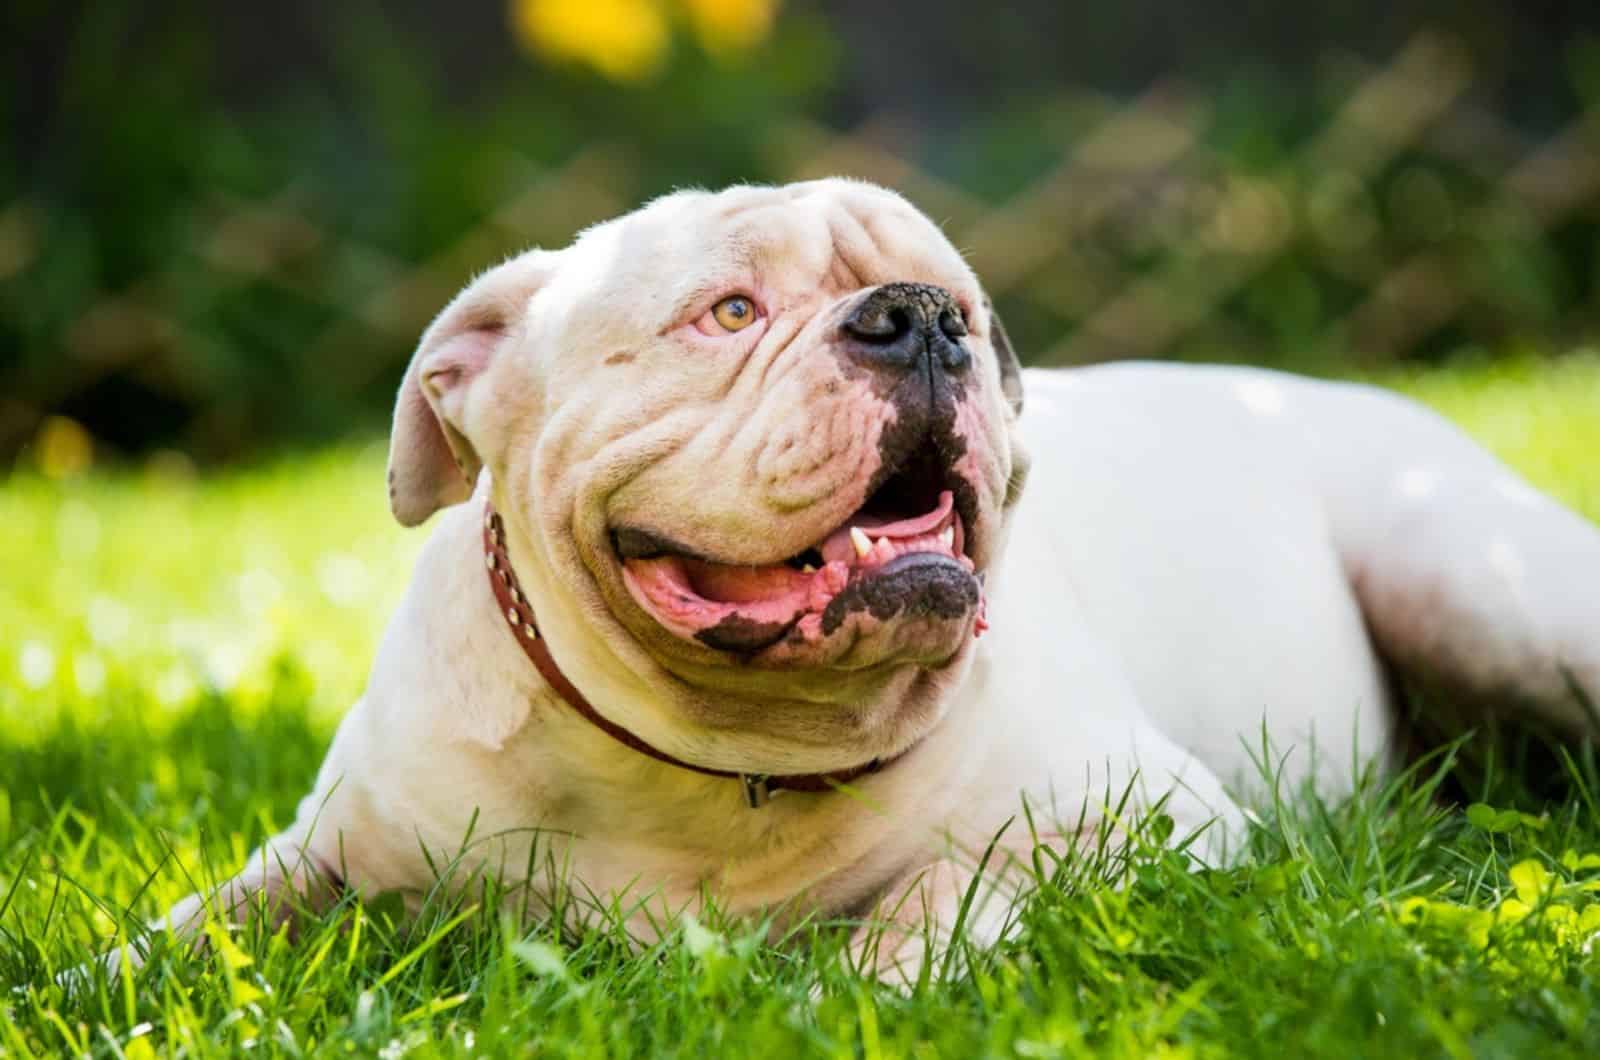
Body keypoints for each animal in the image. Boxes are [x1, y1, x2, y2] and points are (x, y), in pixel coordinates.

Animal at [134, 180, 1600, 986]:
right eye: (727, 313)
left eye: (970, 309)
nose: (920, 317)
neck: (722, 757)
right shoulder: (324, 853)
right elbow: (178, 938)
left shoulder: (1147, 814)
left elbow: (947, 884)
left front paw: (852, 988)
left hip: (1477, 585)